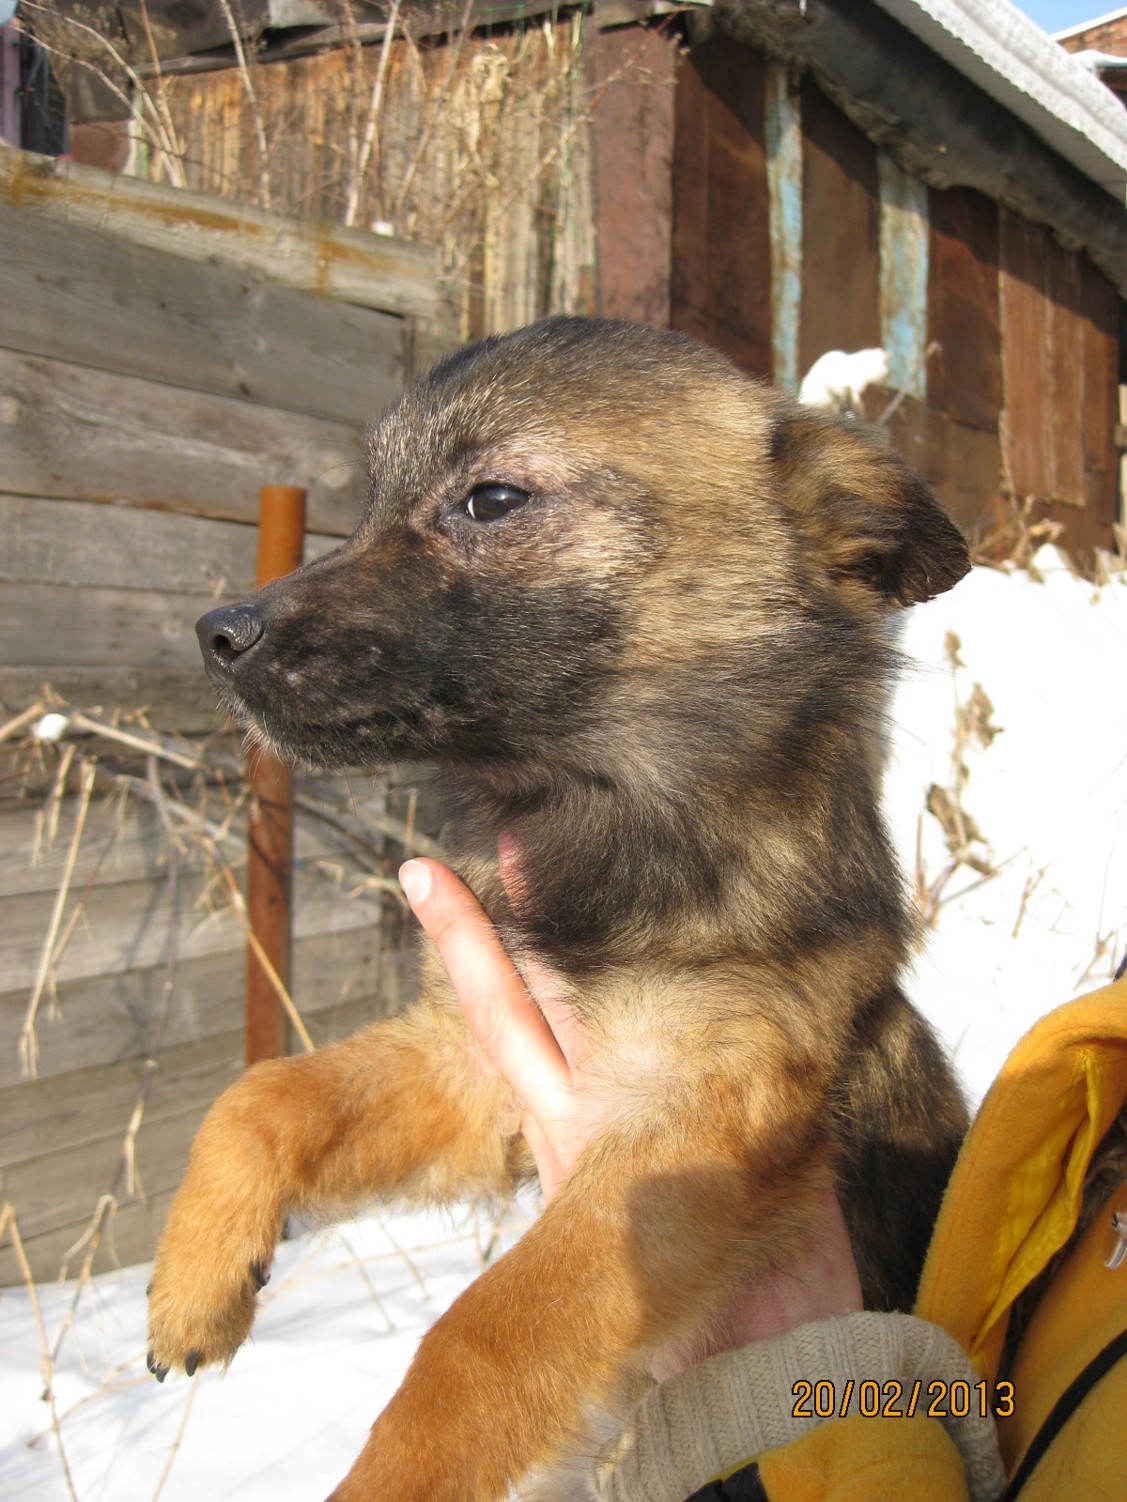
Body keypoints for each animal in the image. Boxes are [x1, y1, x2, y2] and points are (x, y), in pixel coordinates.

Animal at [147, 317, 970, 1500]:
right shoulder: (474, 1062)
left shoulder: (690, 1124)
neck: (603, 818)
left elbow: (481, 1335)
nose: (217, 633)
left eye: (491, 500)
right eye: (373, 499)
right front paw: (196, 1278)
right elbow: (262, 1095)